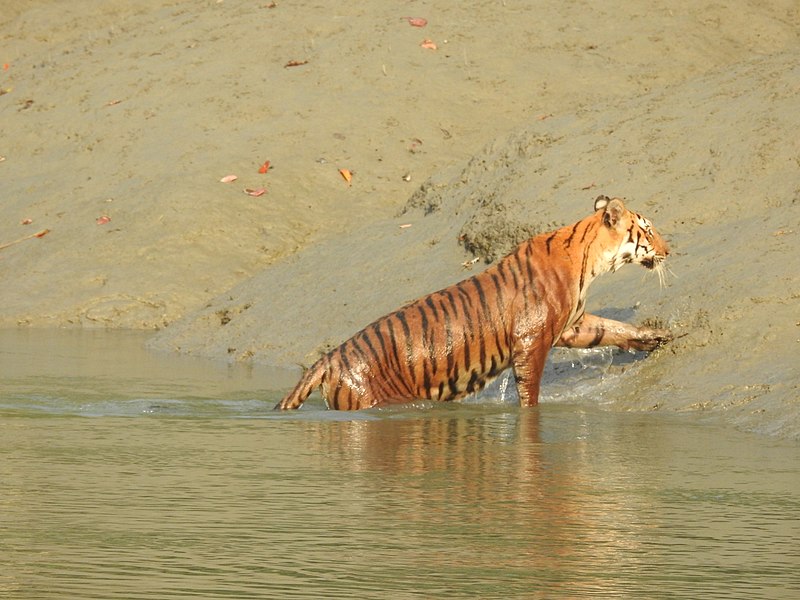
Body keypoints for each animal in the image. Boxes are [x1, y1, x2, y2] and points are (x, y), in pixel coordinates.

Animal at [276, 197, 668, 412]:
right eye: (648, 230)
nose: (669, 249)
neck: (589, 261)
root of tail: (328, 359)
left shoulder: (572, 324)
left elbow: (611, 328)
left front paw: (655, 337)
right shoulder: (531, 340)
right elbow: (529, 391)